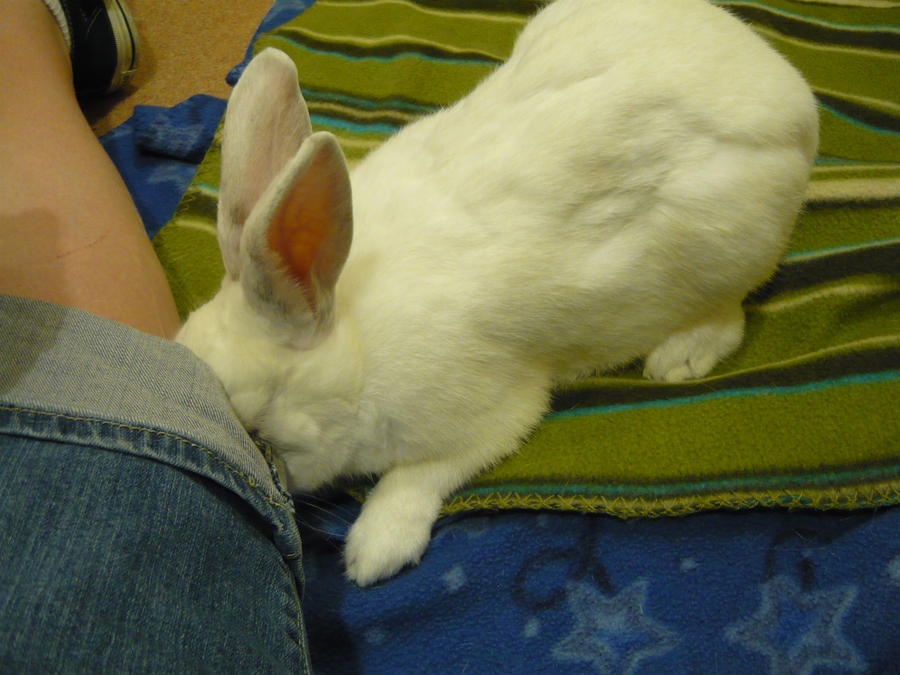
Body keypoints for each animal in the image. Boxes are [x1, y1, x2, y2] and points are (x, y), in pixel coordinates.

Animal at [176, 0, 818, 586]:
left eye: (254, 428)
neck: (352, 343)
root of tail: (796, 105)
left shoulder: (490, 416)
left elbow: (420, 475)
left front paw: (374, 550)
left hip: (720, 252)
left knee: (729, 315)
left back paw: (678, 358)